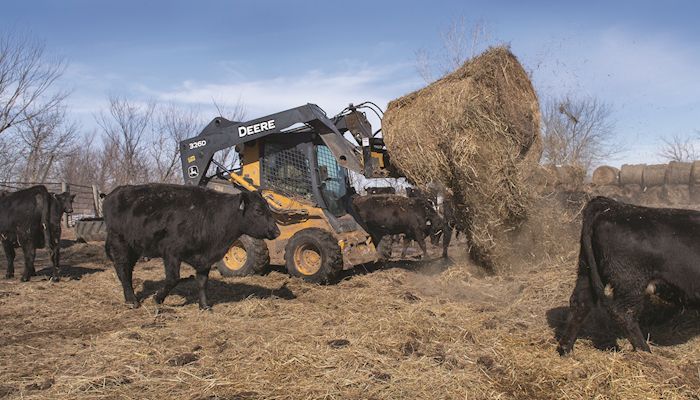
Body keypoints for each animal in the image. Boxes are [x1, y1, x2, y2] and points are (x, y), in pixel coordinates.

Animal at [102, 184, 280, 310]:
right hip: (120, 243)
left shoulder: (205, 259)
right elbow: (173, 279)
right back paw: (132, 301)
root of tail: (113, 193)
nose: (276, 231)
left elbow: (202, 282)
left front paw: (204, 306)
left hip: (134, 247)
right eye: (258, 210)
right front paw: (158, 298)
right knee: (123, 270)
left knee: (126, 271)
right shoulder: (171, 253)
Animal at [556, 195, 700, 354]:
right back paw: (645, 352)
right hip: (630, 282)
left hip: (586, 270)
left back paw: (565, 348)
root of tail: (612, 206)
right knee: (624, 313)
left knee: (581, 303)